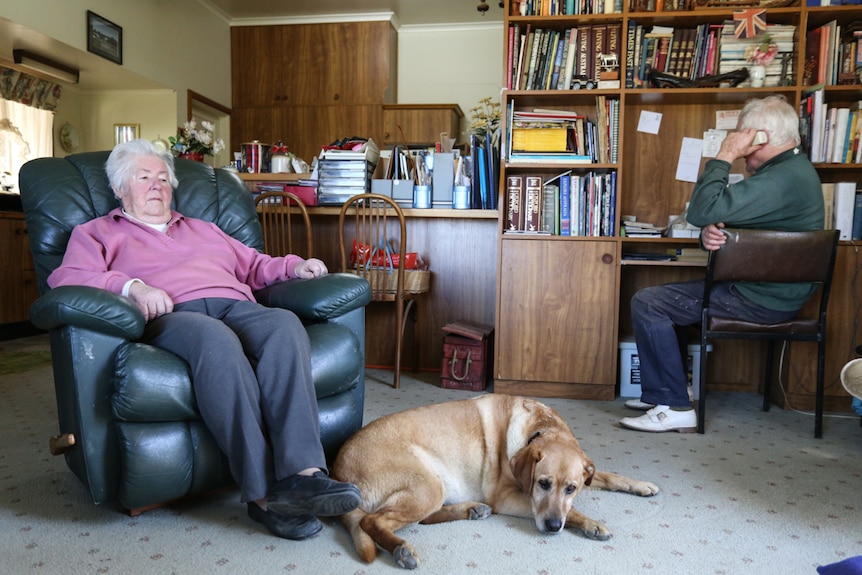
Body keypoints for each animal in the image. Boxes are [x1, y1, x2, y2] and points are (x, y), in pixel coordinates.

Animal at [332, 394, 660, 568]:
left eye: (571, 488)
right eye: (543, 484)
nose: (554, 527)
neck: (540, 429)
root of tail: (338, 469)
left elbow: (606, 475)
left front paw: (641, 485)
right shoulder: (510, 498)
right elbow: (572, 512)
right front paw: (592, 524)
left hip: (434, 486)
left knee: (420, 518)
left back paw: (470, 509)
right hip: (427, 485)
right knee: (373, 521)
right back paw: (401, 549)